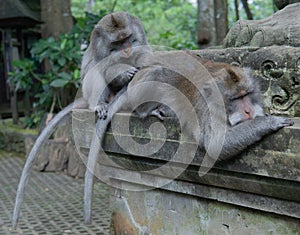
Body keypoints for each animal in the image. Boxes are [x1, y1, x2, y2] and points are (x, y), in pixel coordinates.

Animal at [12, 11, 152, 228]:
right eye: (117, 43)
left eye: (128, 38)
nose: (127, 49)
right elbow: (101, 67)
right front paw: (122, 73)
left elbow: (145, 56)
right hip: (88, 92)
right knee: (94, 71)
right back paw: (99, 105)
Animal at [83, 50, 294, 223]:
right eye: (236, 99)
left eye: (247, 94)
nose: (249, 111)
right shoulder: (206, 108)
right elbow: (216, 143)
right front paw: (270, 121)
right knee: (157, 74)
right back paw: (149, 111)